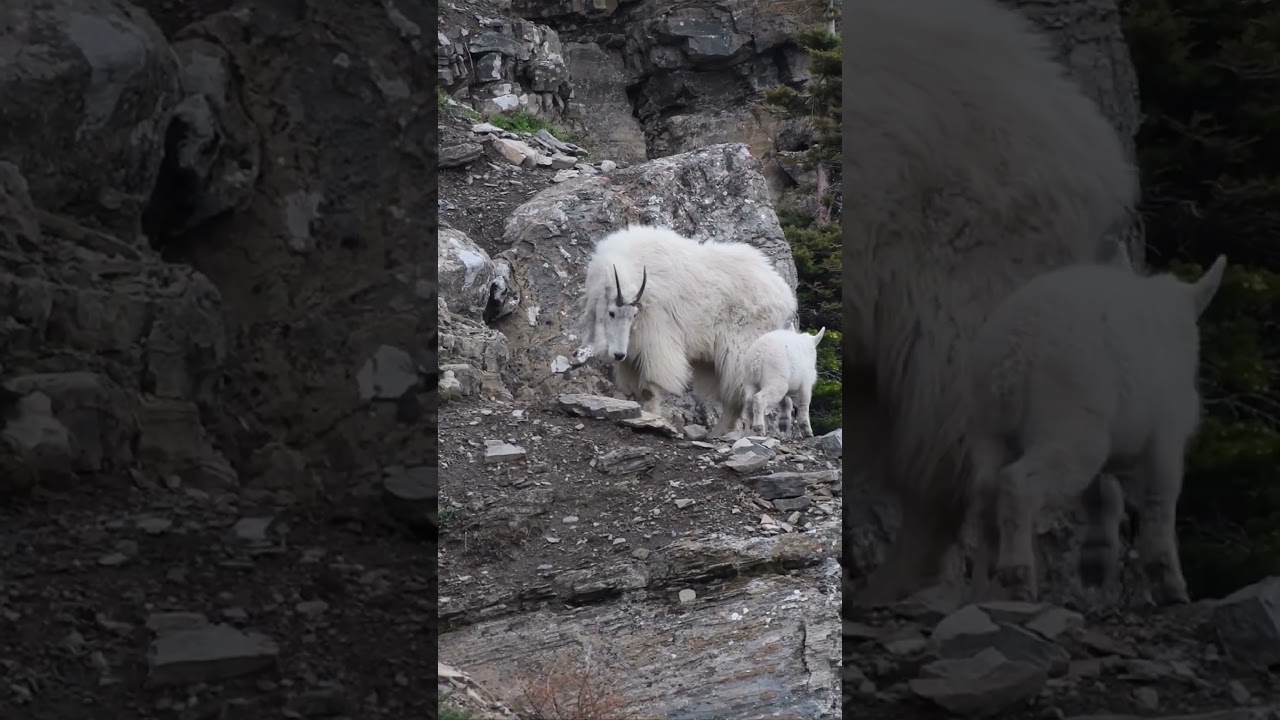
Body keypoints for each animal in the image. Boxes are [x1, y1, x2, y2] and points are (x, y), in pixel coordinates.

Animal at [579, 225, 797, 437]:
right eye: (611, 313)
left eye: (633, 314)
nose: (618, 354)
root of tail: (785, 297)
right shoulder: (632, 351)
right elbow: (634, 389)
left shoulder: (656, 336)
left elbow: (650, 386)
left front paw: (653, 416)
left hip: (743, 350)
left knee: (740, 394)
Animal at [965, 256, 1227, 605]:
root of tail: (1012, 355)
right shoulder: (1165, 433)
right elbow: (1160, 499)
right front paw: (1172, 587)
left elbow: (1102, 497)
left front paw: (1095, 569)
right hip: (1069, 408)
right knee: (1022, 478)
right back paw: (1018, 576)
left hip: (986, 419)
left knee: (984, 484)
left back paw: (985, 580)